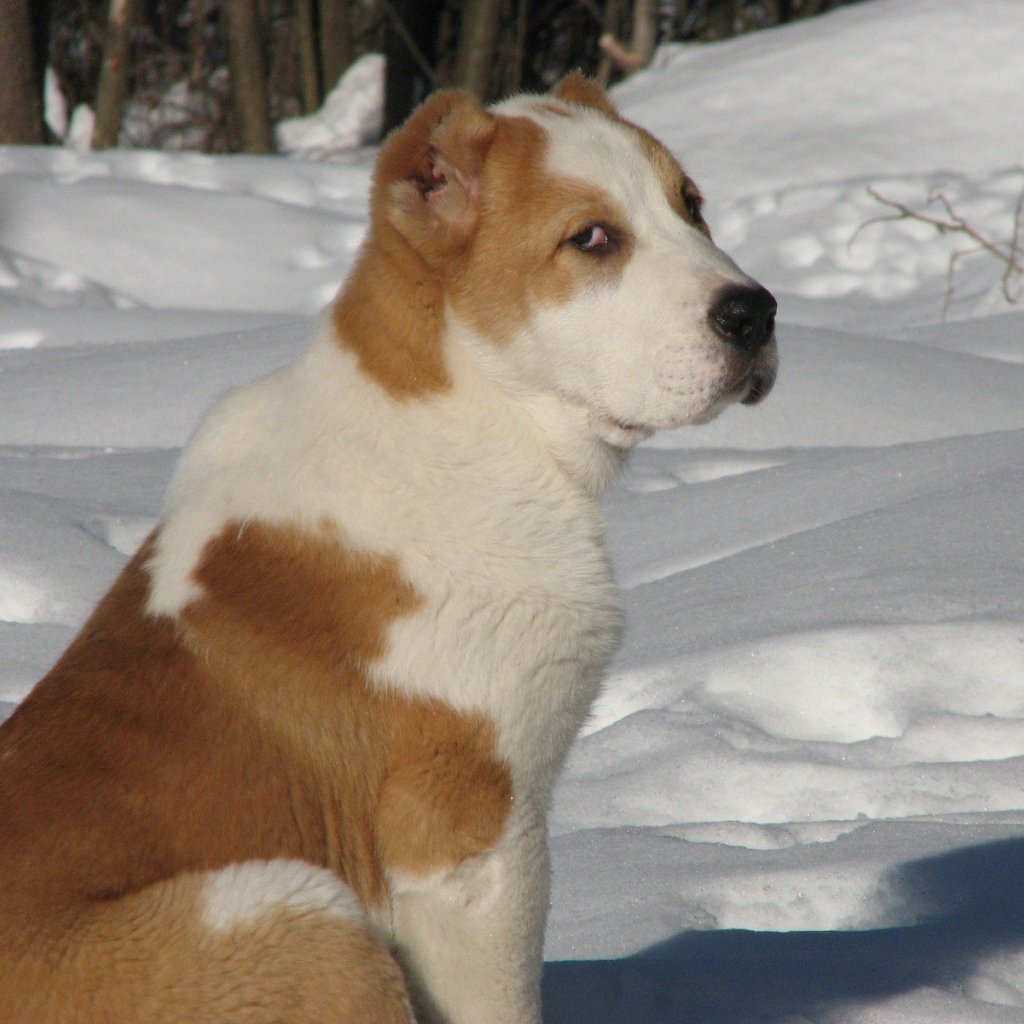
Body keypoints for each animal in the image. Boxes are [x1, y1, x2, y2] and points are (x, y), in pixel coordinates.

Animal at [0, 75, 770, 1019]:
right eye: (593, 239)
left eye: (692, 206)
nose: (757, 313)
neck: (476, 416)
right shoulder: (470, 846)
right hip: (298, 910)